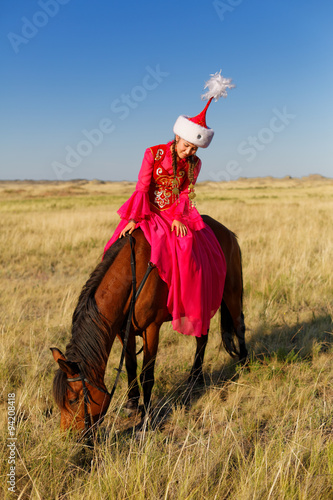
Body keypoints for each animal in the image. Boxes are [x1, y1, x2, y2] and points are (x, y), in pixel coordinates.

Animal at [50, 216, 245, 434]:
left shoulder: (151, 329)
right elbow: (131, 366)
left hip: (231, 291)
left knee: (238, 324)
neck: (132, 274)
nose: (68, 436)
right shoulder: (122, 331)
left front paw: (146, 417)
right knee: (202, 338)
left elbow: (147, 374)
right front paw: (132, 404)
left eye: (73, 400)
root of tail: (229, 233)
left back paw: (244, 362)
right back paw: (195, 379)